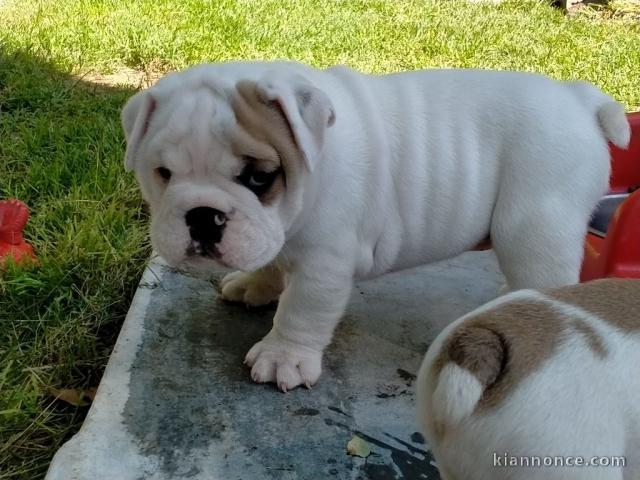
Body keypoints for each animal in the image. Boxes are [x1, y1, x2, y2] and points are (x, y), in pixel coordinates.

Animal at [121, 61, 632, 390]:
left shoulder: (324, 263)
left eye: (259, 177)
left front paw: (283, 356)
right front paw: (254, 285)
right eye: (163, 174)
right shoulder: (275, 236)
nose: (202, 215)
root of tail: (577, 98)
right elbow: (268, 259)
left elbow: (301, 310)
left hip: (534, 225)